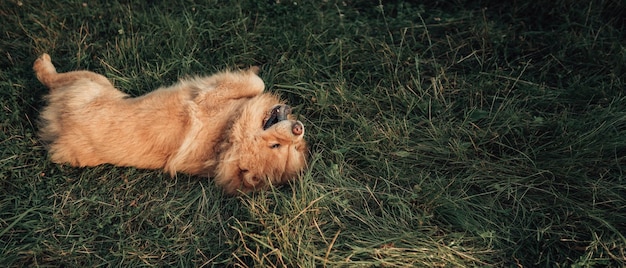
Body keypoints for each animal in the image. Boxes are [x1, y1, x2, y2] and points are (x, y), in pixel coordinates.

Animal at [34, 52, 308, 195]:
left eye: (287, 148)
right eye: (276, 146)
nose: (298, 130)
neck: (226, 139)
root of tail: (60, 128)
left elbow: (254, 84)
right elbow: (257, 83)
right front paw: (253, 69)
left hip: (93, 83)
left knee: (52, 79)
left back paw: (42, 63)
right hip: (97, 81)